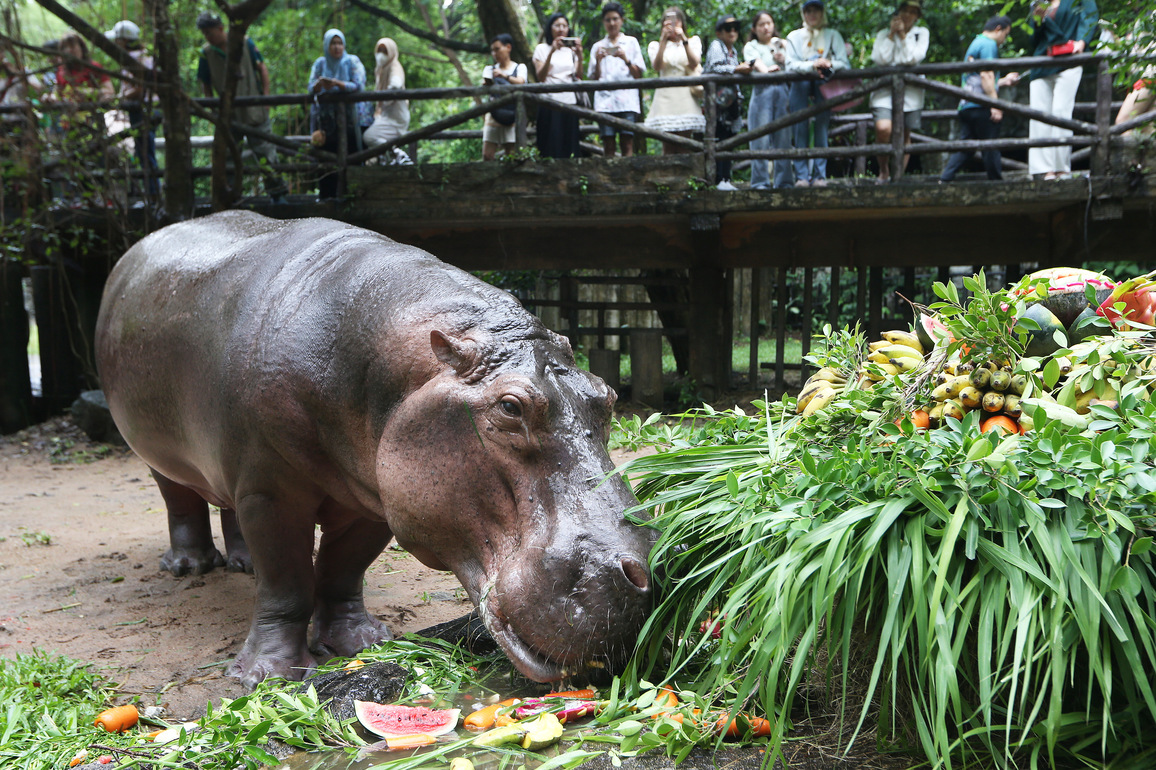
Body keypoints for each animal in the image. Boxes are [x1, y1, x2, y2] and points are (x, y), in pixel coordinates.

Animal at [95, 211, 654, 687]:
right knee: (180, 500)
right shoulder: (270, 492)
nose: (646, 573)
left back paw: (242, 565)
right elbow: (288, 583)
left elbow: (344, 570)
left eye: (606, 395)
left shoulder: (376, 499)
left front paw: (362, 642)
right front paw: (269, 676)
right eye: (511, 406)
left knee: (224, 502)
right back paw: (188, 567)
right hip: (157, 453)